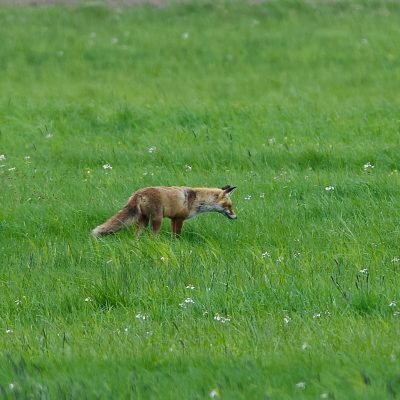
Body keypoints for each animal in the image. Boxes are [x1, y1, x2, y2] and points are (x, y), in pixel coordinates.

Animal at [92, 185, 236, 238]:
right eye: (229, 206)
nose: (235, 217)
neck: (196, 200)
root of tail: (139, 193)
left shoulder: (173, 219)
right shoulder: (179, 218)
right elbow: (177, 236)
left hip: (143, 221)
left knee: (136, 237)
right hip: (157, 220)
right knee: (153, 237)